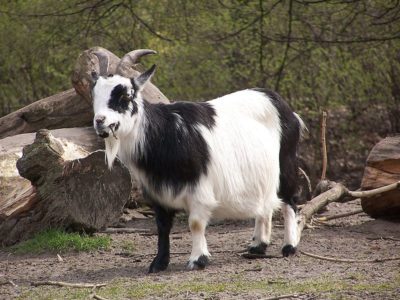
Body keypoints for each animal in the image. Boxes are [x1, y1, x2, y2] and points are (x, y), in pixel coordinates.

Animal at [90, 50, 304, 274]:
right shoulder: (158, 192)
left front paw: (197, 260)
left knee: (290, 201)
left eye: (126, 95)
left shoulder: (199, 189)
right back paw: (258, 246)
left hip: (286, 163)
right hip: (263, 174)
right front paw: (159, 263)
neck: (167, 133)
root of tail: (282, 105)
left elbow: (195, 223)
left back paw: (289, 246)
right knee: (266, 204)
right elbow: (162, 226)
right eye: (94, 94)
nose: (99, 121)